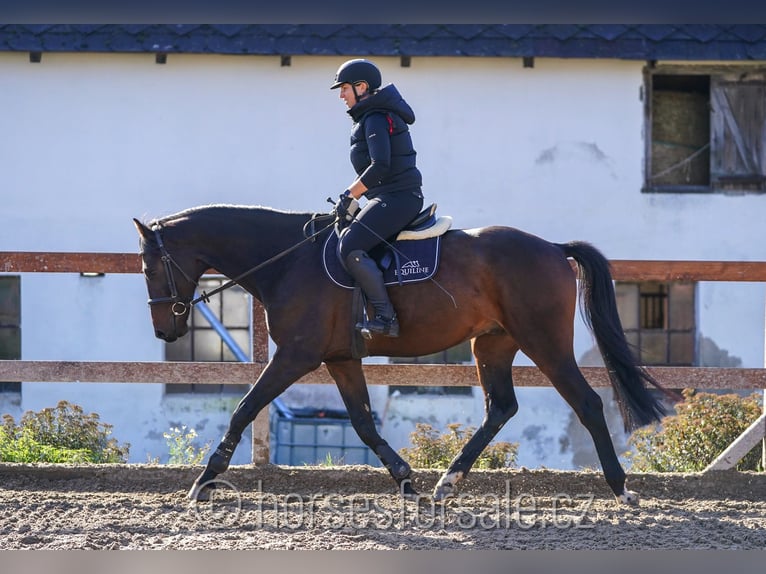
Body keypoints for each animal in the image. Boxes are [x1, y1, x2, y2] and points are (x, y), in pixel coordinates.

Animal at [133, 203, 671, 506]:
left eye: (149, 267)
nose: (164, 329)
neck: (287, 259)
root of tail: (555, 249)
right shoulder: (340, 359)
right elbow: (364, 423)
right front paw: (406, 480)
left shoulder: (295, 356)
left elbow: (244, 408)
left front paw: (205, 480)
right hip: (492, 343)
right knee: (500, 407)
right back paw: (446, 483)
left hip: (545, 342)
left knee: (588, 403)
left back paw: (622, 488)